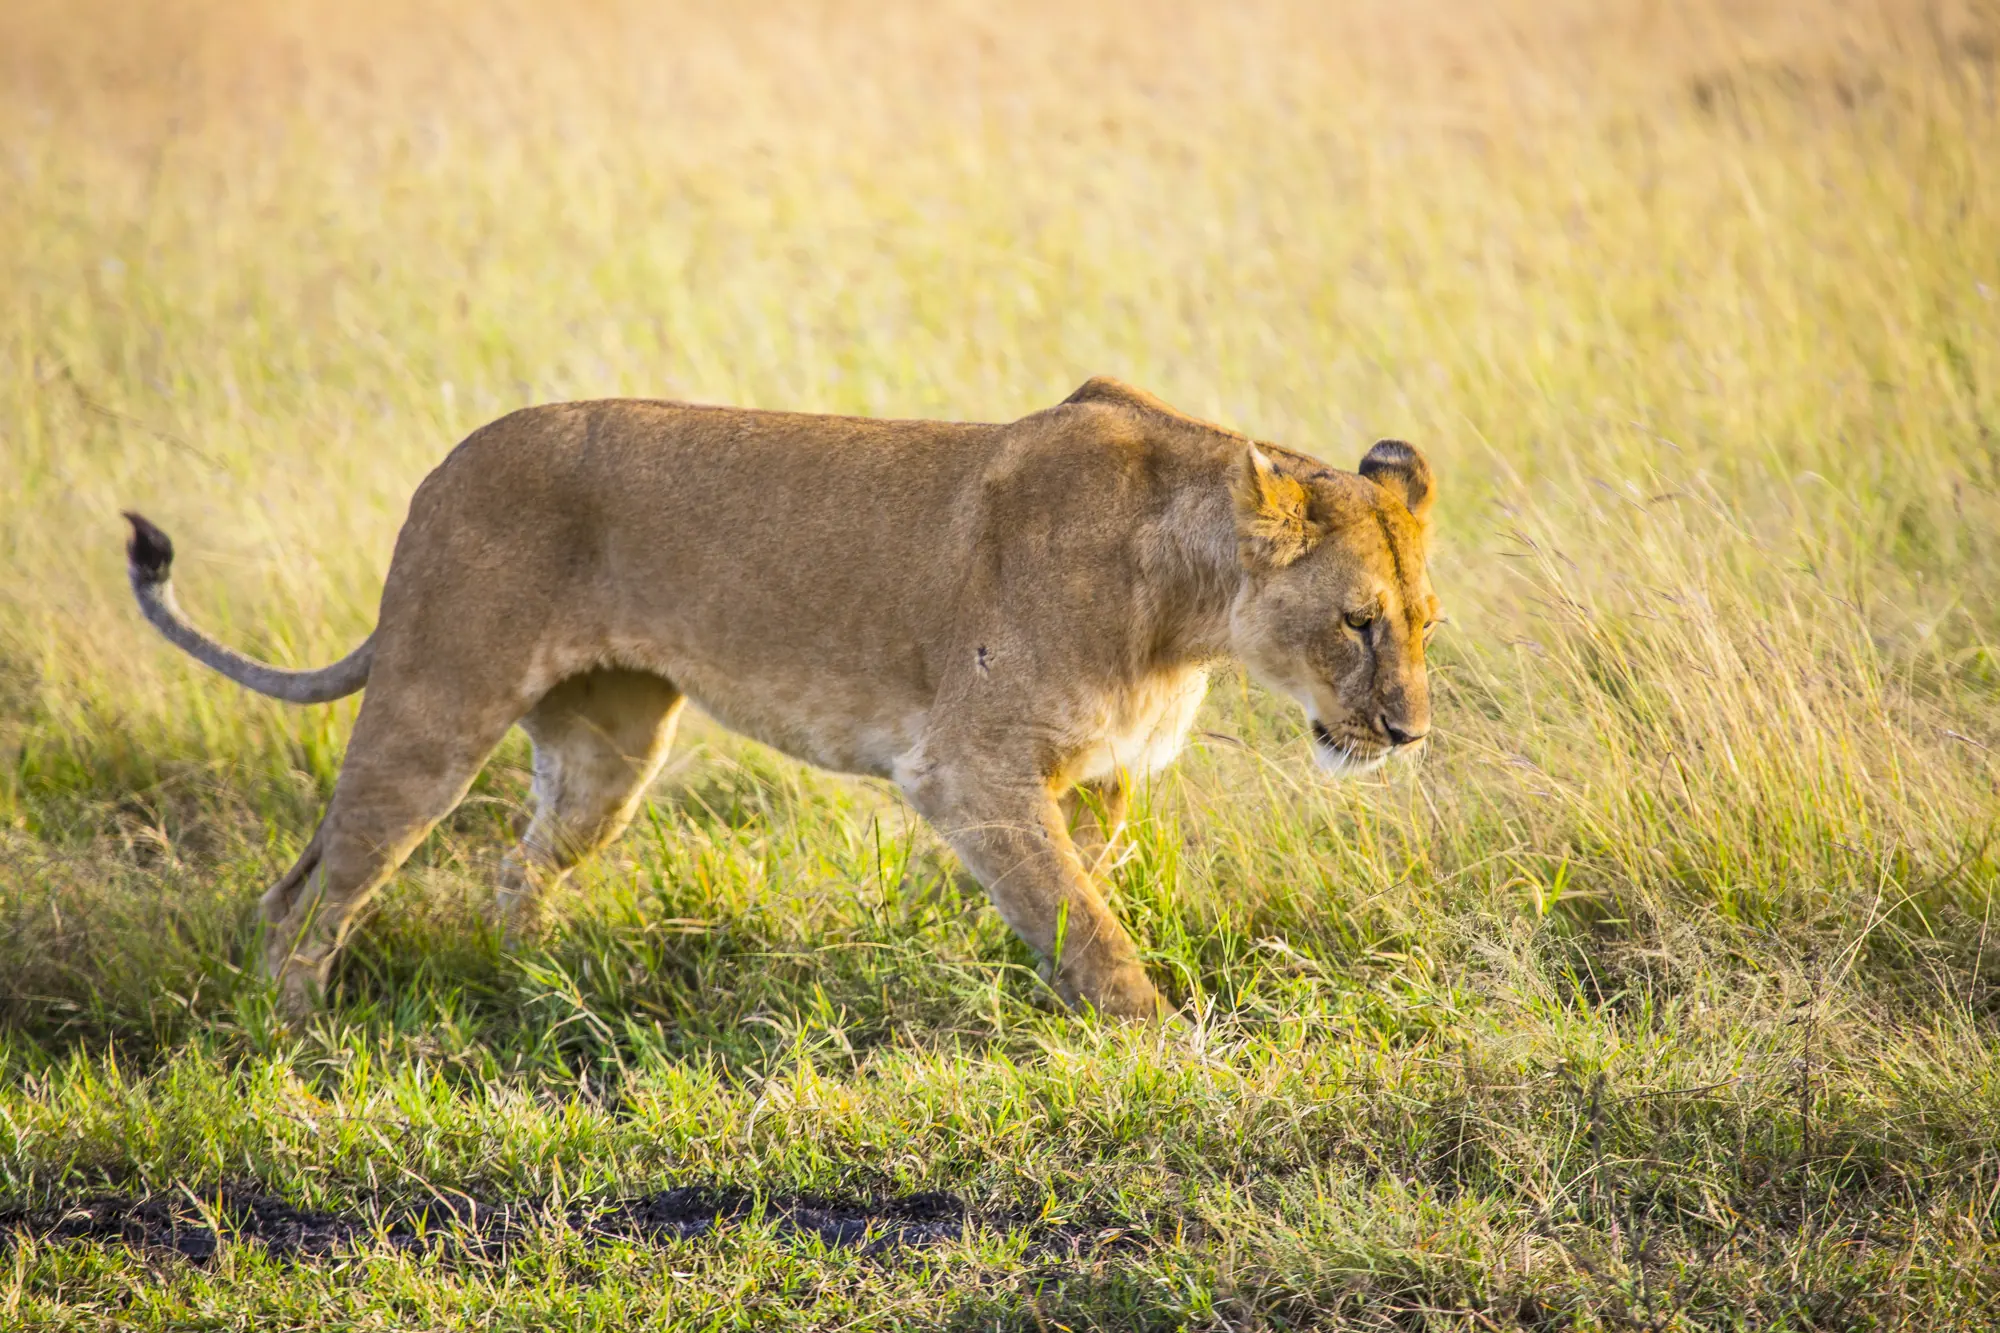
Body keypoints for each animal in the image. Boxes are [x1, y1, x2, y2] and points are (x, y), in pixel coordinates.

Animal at [123, 377, 1439, 1019]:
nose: (1408, 732)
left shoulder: (1097, 777)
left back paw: (533, 986)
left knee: (504, 863)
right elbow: (1087, 923)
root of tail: (443, 465)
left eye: (1423, 622)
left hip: (606, 756)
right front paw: (1160, 1040)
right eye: (1355, 624)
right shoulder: (965, 769)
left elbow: (1073, 898)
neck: (1184, 614)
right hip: (433, 708)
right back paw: (296, 1036)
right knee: (317, 889)